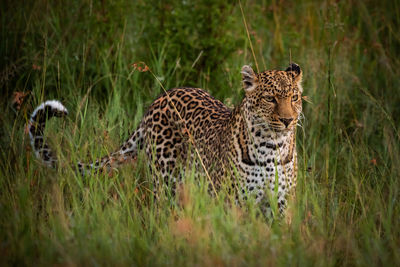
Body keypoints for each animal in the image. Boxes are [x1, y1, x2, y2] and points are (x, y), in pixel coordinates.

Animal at [28, 62, 304, 214]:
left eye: (294, 97)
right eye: (270, 99)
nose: (288, 120)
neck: (272, 147)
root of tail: (158, 100)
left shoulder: (282, 204)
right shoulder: (234, 202)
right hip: (166, 182)